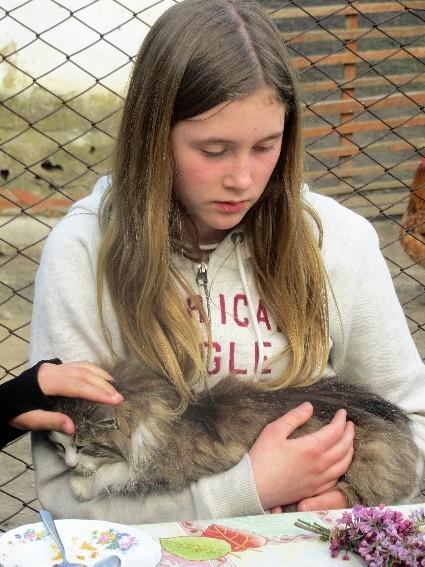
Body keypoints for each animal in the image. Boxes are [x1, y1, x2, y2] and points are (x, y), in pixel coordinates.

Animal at [48, 364, 418, 510]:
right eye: (58, 446)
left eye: (82, 445)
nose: (68, 463)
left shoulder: (163, 465)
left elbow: (114, 476)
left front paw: (80, 484)